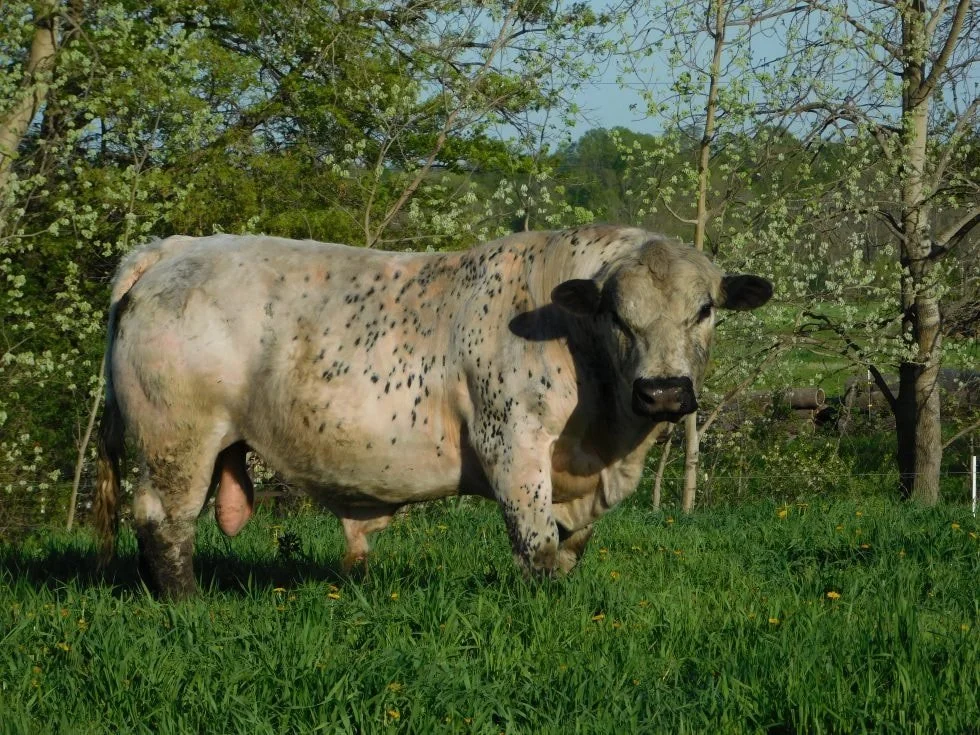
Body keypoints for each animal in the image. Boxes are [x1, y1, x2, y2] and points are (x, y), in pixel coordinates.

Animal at [93, 225, 772, 598]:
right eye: (617, 315)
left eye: (705, 310)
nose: (664, 392)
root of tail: (176, 249)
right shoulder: (513, 444)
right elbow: (538, 546)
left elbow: (570, 548)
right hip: (177, 437)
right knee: (164, 521)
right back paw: (185, 603)